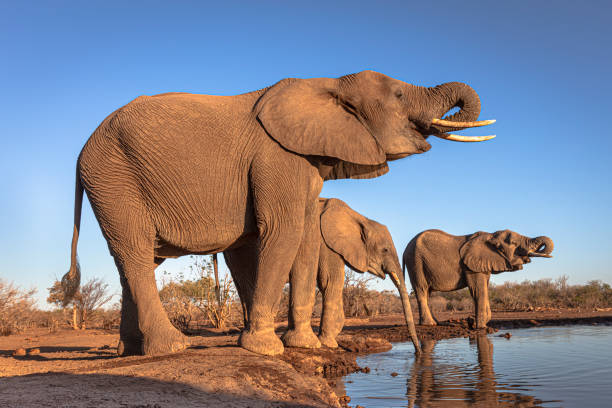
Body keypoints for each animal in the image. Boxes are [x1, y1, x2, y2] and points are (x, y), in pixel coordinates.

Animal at [62, 71, 494, 356]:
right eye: (400, 94)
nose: (419, 353)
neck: (330, 83)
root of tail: (81, 153)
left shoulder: (305, 165)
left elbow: (298, 239)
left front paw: (298, 345)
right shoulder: (278, 158)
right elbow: (283, 232)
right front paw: (266, 349)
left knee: (135, 262)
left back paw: (130, 351)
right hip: (114, 180)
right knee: (135, 254)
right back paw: (172, 348)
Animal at [404, 230, 552, 328]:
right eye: (514, 243)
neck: (490, 236)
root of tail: (405, 250)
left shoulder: (483, 265)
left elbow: (484, 288)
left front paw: (476, 323)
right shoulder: (470, 266)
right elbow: (478, 291)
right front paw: (480, 328)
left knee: (427, 293)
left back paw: (436, 323)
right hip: (415, 262)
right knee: (422, 290)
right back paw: (429, 324)